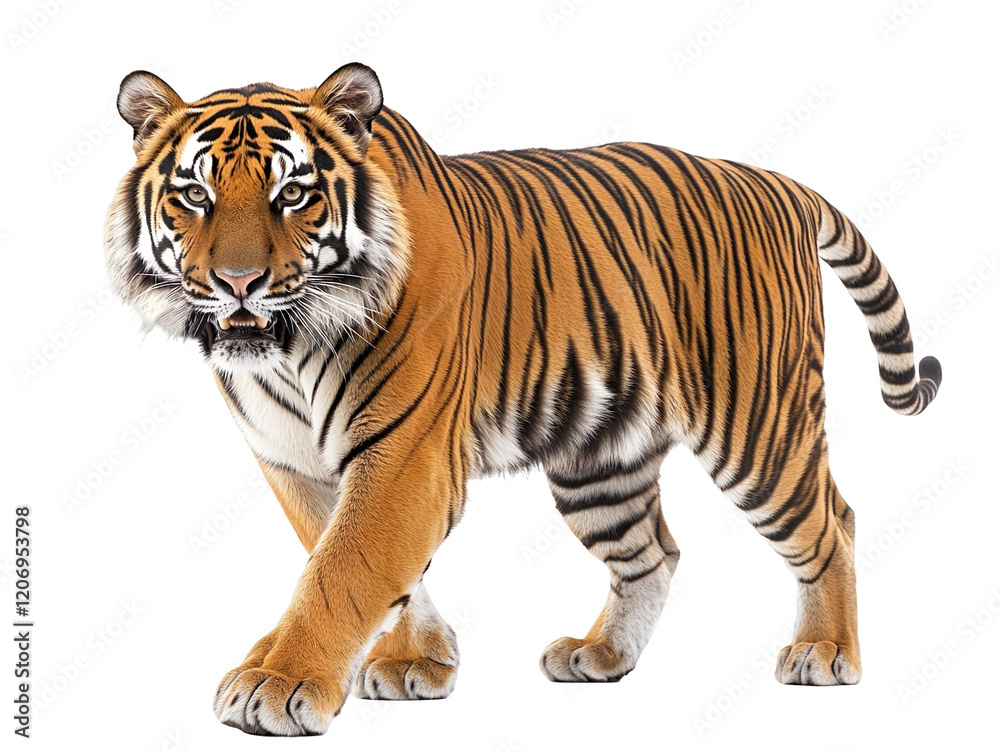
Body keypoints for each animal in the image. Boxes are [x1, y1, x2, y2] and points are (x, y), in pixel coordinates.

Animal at [105, 63, 941, 736]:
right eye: (194, 194)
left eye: (293, 193)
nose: (237, 282)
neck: (285, 353)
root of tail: (773, 181)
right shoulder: (295, 463)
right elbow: (358, 561)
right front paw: (418, 661)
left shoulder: (404, 455)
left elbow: (343, 568)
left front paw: (278, 683)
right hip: (600, 459)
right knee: (653, 552)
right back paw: (602, 652)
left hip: (758, 427)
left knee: (832, 522)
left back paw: (824, 652)